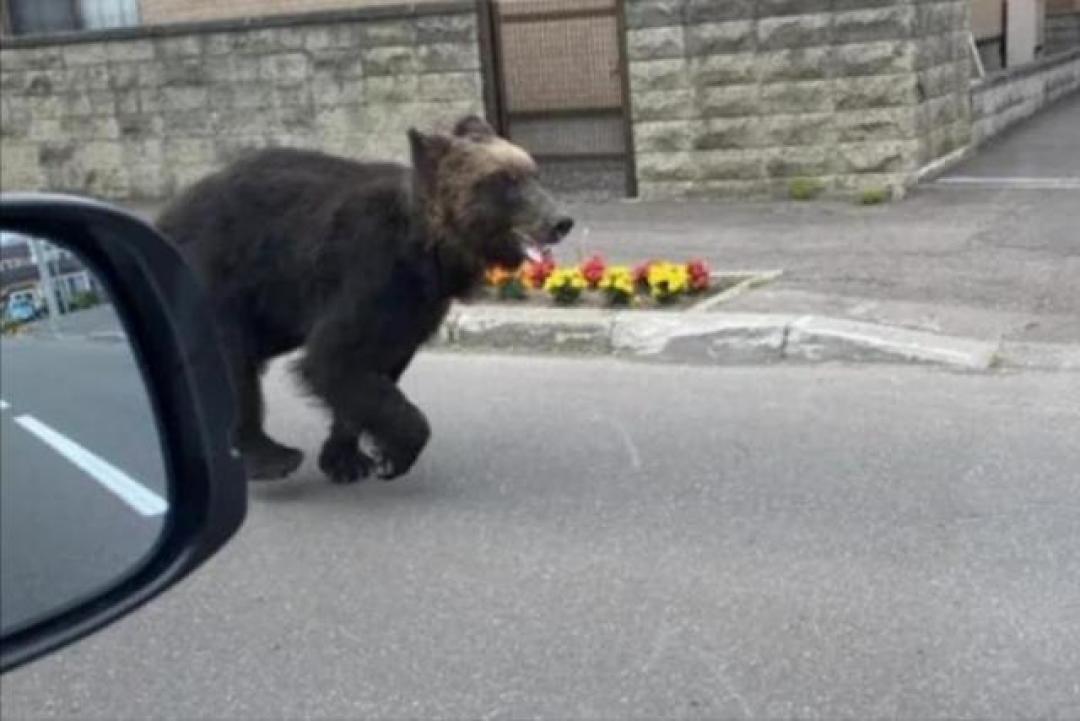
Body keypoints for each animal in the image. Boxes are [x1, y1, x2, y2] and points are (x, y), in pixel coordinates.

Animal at [156, 115, 573, 483]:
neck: (428, 250)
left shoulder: (414, 308)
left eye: (533, 172)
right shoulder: (368, 274)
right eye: (505, 181)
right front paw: (396, 453)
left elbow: (370, 369)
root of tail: (166, 215)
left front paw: (347, 458)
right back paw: (269, 456)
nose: (560, 221)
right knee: (231, 361)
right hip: (218, 276)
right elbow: (334, 357)